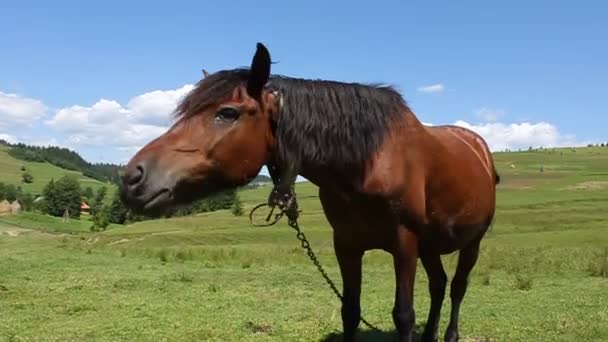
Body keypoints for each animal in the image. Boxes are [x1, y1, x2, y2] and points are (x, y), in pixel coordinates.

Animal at [120, 42, 498, 342]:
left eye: (227, 113)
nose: (132, 177)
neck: (370, 161)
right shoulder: (347, 245)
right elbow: (350, 310)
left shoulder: (404, 243)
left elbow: (403, 315)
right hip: (430, 245)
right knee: (439, 284)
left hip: (471, 242)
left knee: (456, 287)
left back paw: (449, 334)